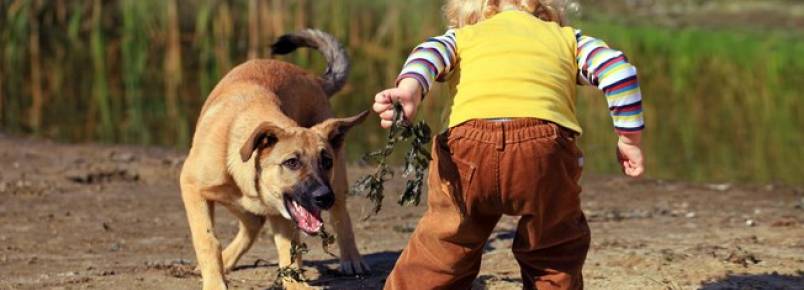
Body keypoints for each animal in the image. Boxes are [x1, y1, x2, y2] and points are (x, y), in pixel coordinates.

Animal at [181, 30, 370, 288]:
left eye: (326, 161)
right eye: (291, 162)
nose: (323, 197)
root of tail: (312, 78)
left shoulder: (284, 215)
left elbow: (289, 253)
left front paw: (298, 285)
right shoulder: (191, 187)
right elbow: (207, 240)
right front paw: (215, 282)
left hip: (336, 183)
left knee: (341, 216)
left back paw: (352, 258)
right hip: (231, 199)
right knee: (252, 224)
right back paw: (225, 260)